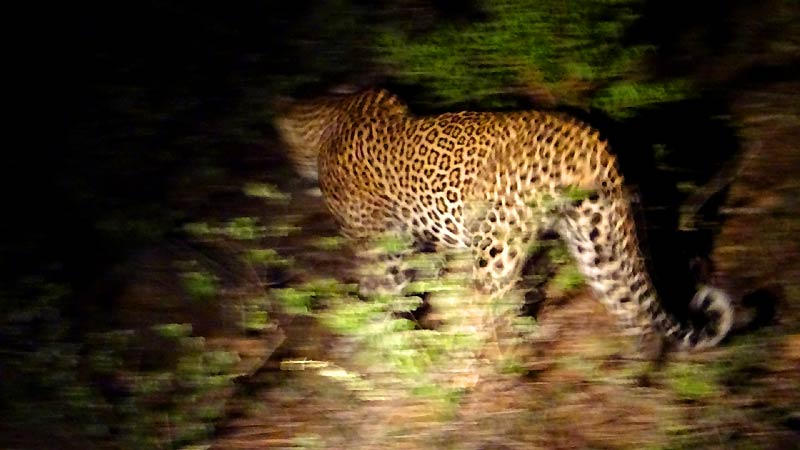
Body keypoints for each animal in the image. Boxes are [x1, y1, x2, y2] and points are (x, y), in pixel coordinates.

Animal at [275, 88, 734, 351]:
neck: (330, 120)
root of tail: (586, 137)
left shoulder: (378, 243)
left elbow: (384, 293)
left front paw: (381, 341)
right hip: (595, 235)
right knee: (630, 307)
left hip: (495, 244)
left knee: (491, 311)